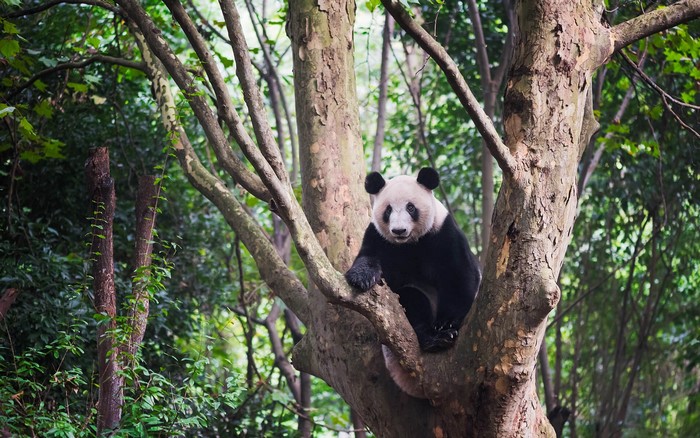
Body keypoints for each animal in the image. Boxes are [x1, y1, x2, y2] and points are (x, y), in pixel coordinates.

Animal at [345, 167, 481, 397]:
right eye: (388, 210)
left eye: (411, 207)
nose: (399, 231)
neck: (409, 244)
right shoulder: (379, 237)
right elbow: (369, 259)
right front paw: (360, 277)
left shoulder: (443, 233)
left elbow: (459, 276)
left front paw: (447, 323)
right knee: (412, 299)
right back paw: (432, 339)